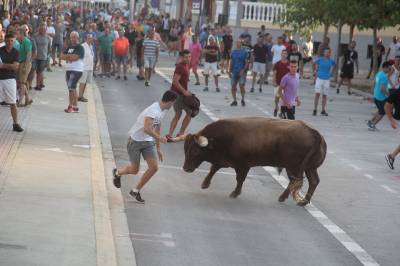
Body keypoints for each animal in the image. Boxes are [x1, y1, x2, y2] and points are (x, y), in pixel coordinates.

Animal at [183, 116, 326, 206]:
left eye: (195, 151)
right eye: (185, 149)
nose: (185, 168)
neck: (225, 138)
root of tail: (313, 133)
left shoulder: (243, 165)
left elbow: (239, 179)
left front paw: (235, 193)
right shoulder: (222, 161)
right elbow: (213, 169)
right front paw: (204, 184)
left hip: (293, 167)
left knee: (295, 181)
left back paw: (287, 198)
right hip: (309, 168)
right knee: (312, 181)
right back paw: (301, 202)